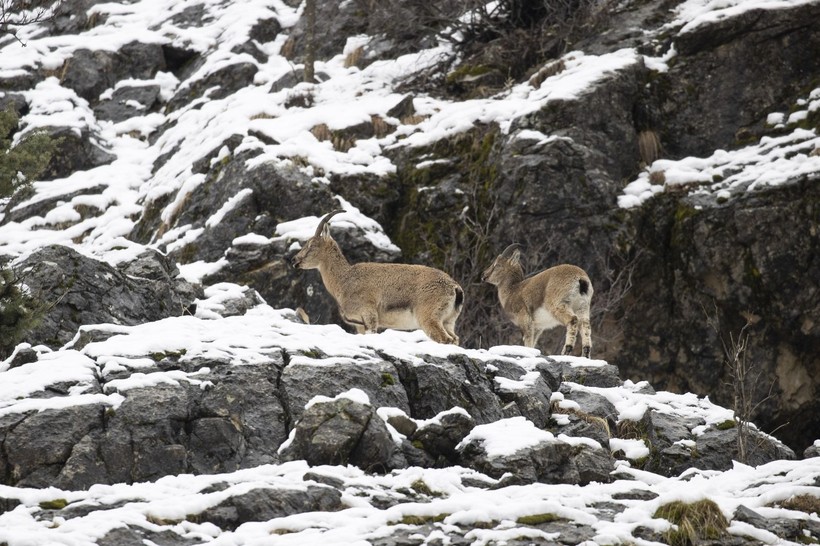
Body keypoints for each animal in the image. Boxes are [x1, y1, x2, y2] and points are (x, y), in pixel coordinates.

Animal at [292, 209, 464, 342]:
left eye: (311, 245)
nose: (294, 260)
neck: (344, 279)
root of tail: (454, 287)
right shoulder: (359, 324)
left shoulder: (369, 315)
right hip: (449, 321)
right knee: (454, 339)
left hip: (429, 317)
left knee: (445, 339)